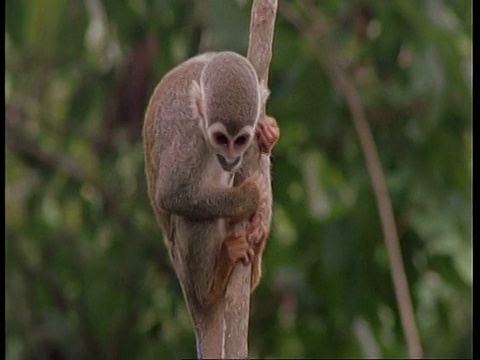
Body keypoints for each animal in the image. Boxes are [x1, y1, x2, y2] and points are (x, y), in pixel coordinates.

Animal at [142, 51, 278, 318]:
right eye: (221, 139)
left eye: (240, 140)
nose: (231, 159)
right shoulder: (188, 137)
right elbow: (171, 195)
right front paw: (250, 195)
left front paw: (268, 132)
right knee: (195, 214)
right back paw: (210, 291)